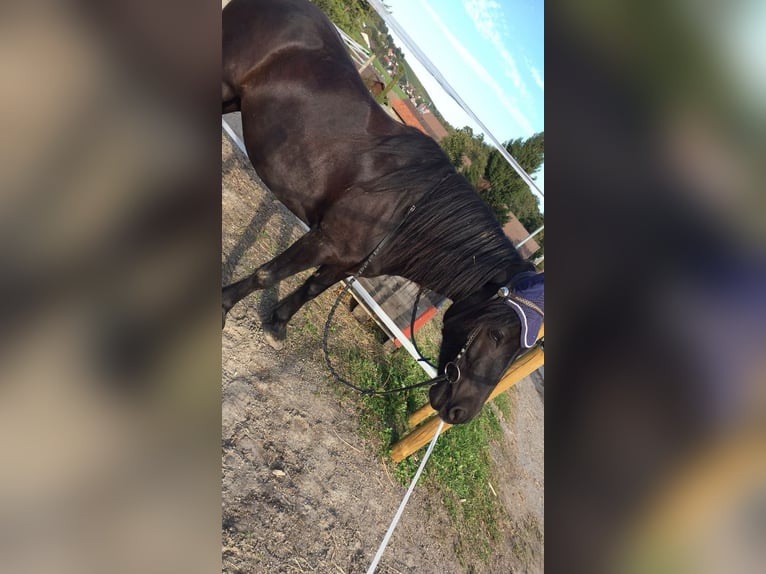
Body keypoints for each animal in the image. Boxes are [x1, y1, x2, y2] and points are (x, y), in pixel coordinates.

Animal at [222, 0, 543, 425]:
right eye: (496, 334)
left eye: (521, 350)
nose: (460, 412)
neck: (404, 212)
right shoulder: (324, 240)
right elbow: (266, 275)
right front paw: (223, 306)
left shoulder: (344, 261)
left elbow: (311, 288)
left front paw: (277, 325)